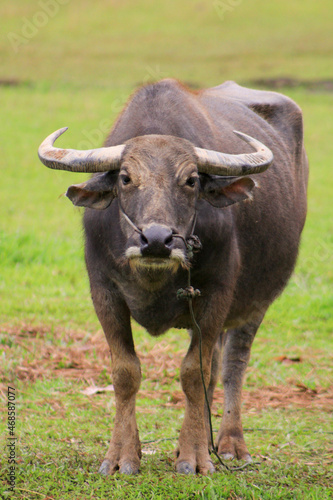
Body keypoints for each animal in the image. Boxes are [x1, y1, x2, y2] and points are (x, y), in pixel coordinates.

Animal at [38, 77, 306, 472]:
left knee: (232, 365)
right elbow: (125, 372)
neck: (154, 277)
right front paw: (122, 456)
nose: (156, 240)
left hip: (256, 303)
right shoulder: (104, 292)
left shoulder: (217, 294)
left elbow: (194, 373)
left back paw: (228, 445)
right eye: (125, 177)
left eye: (191, 180)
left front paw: (193, 457)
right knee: (215, 365)